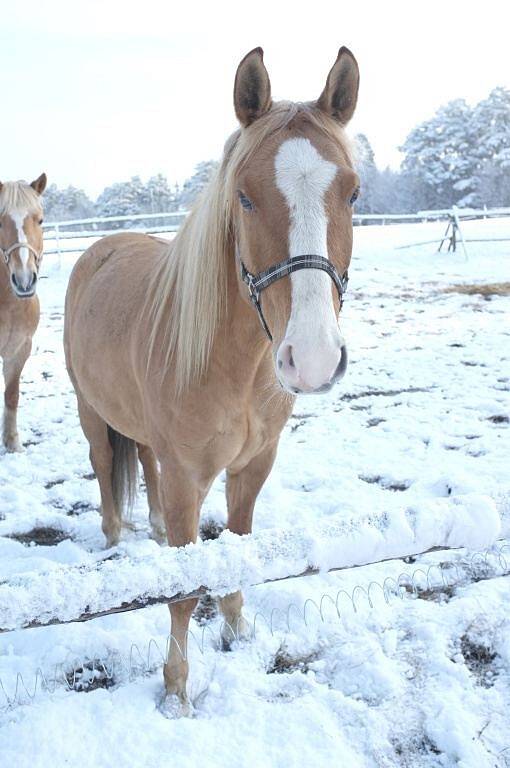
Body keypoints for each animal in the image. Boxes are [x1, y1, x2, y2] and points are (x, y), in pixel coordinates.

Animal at [62, 45, 358, 712]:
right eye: (244, 197)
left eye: (354, 193)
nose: (314, 357)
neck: (235, 367)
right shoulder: (188, 479)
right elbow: (182, 589)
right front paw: (176, 690)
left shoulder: (252, 467)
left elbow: (236, 556)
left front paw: (238, 633)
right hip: (91, 413)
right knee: (105, 468)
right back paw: (116, 541)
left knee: (142, 461)